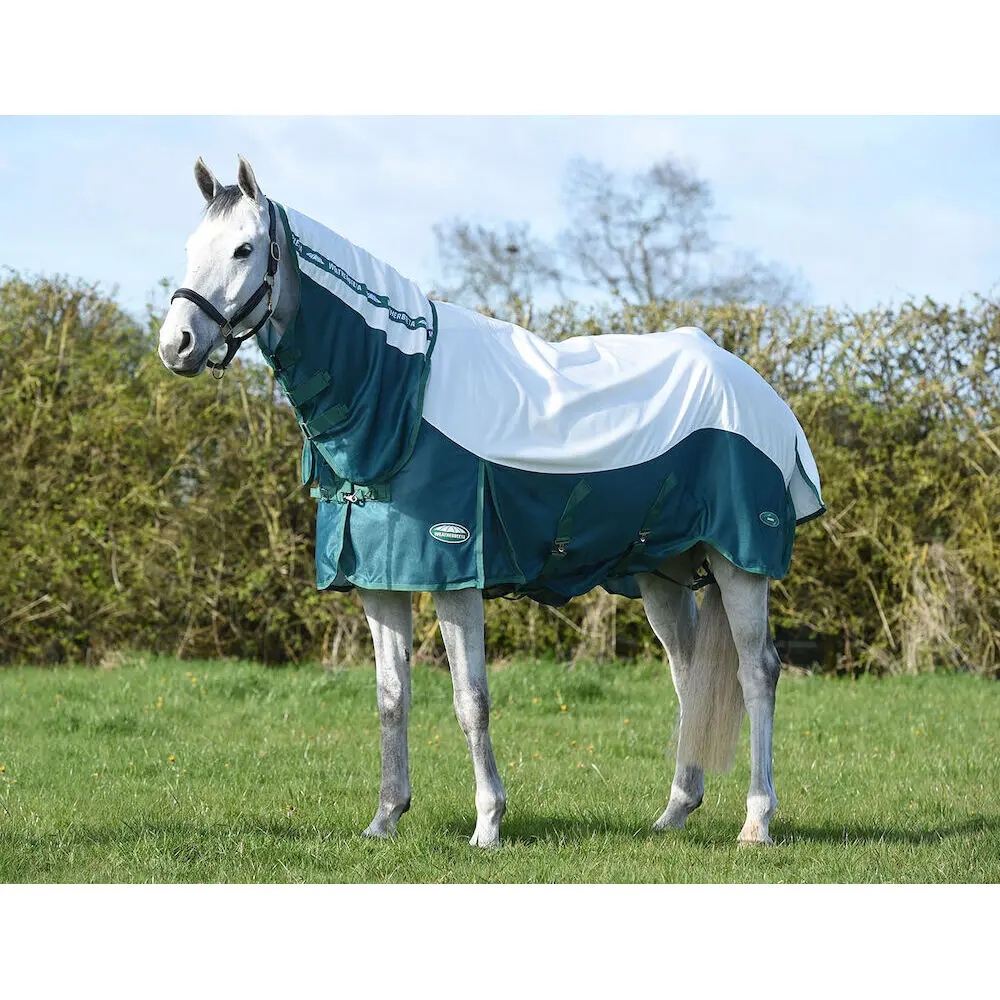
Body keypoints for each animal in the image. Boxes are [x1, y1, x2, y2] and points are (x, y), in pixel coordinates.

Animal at [157, 155, 824, 847]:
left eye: (243, 248)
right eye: (191, 247)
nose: (176, 344)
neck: (402, 395)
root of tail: (762, 394)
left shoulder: (455, 578)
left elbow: (470, 699)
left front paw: (487, 823)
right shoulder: (380, 583)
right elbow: (391, 697)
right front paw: (384, 818)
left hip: (739, 565)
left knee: (757, 672)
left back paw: (756, 821)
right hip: (661, 573)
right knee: (689, 674)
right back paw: (674, 811)